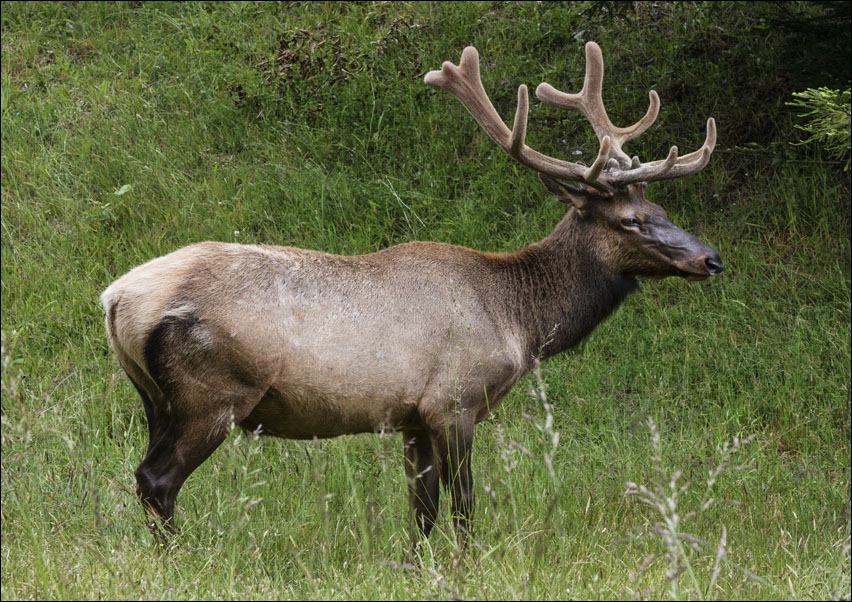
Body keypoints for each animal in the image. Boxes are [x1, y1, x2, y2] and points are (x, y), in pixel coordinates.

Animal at [101, 41, 724, 548]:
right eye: (630, 220)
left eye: (661, 209)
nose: (711, 259)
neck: (518, 321)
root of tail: (115, 299)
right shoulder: (454, 399)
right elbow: (464, 503)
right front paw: (470, 566)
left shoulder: (412, 417)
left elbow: (421, 510)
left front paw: (418, 567)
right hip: (214, 391)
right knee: (156, 479)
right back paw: (183, 559)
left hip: (154, 397)